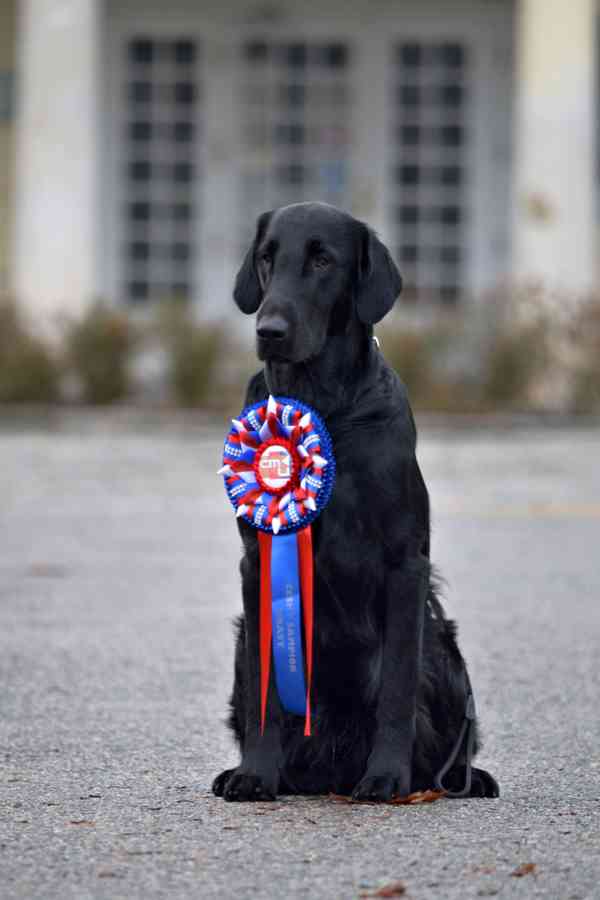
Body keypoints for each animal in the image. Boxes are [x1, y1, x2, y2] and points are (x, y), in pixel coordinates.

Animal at [213, 202, 500, 800]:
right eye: (267, 257)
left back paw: (456, 778)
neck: (324, 405)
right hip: (242, 635)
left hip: (441, 644)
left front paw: (386, 775)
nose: (269, 331)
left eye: (323, 259)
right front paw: (255, 774)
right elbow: (264, 696)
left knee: (449, 742)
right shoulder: (257, 564)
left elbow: (396, 690)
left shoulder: (405, 564)